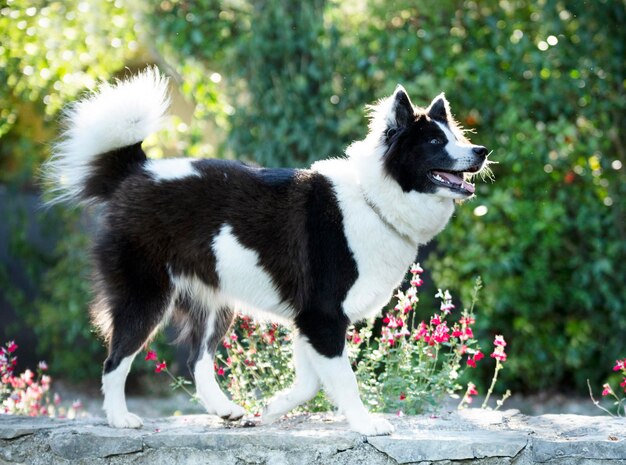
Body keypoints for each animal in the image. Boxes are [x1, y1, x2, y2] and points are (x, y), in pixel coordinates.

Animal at [45, 68, 488, 436]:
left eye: (457, 138)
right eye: (435, 142)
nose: (481, 151)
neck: (374, 197)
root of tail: (138, 170)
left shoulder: (310, 319)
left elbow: (311, 382)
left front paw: (273, 408)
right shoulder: (323, 316)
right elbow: (344, 379)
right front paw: (365, 425)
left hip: (215, 301)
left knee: (197, 361)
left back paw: (225, 410)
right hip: (146, 296)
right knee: (115, 360)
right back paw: (119, 418)